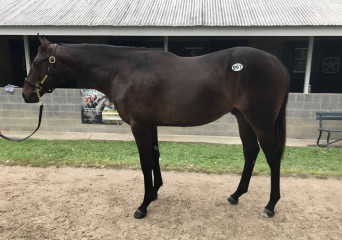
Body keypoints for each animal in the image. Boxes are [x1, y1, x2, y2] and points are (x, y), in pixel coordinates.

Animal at [22, 37, 288, 219]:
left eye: (37, 61)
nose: (26, 94)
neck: (124, 70)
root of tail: (278, 64)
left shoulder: (139, 125)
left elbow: (145, 162)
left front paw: (144, 204)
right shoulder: (151, 124)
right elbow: (155, 155)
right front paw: (156, 191)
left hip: (261, 122)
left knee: (273, 157)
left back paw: (270, 205)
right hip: (243, 118)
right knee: (250, 152)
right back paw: (236, 195)